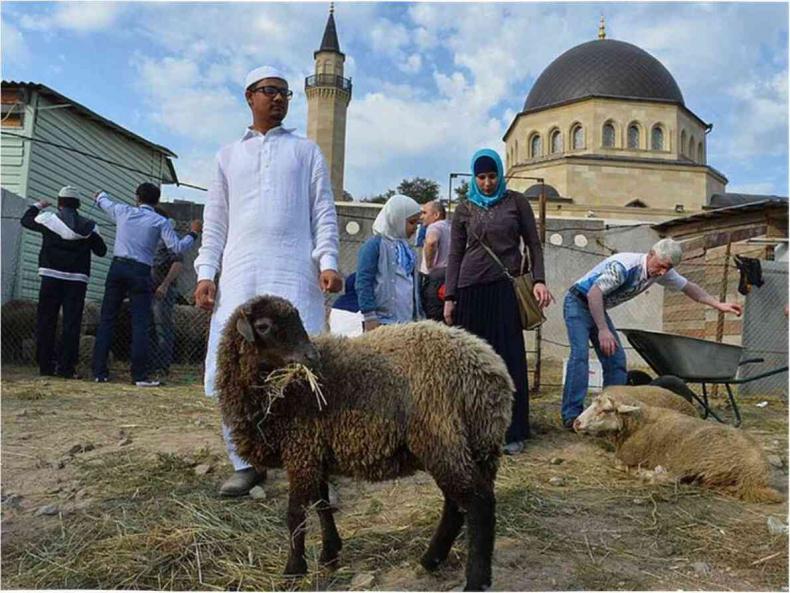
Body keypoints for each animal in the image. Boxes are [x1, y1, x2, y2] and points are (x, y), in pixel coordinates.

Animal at [217, 294, 512, 588]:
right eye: (264, 326)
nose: (312, 356)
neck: (283, 392)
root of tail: (491, 370)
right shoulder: (313, 452)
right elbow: (322, 504)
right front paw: (330, 553)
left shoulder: (300, 450)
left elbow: (295, 514)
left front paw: (293, 569)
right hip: (474, 445)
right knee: (457, 505)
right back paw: (432, 559)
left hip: (443, 439)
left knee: (478, 504)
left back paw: (475, 580)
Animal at [576, 390, 784, 502]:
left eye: (606, 410)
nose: (576, 423)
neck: (637, 424)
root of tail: (755, 477)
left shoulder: (628, 456)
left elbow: (616, 462)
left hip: (697, 458)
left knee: (672, 478)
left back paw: (647, 473)